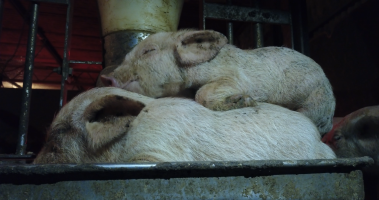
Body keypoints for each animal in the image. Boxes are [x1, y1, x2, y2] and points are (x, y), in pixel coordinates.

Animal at [100, 29, 336, 134]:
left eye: (149, 51)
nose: (105, 78)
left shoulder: (234, 77)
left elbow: (202, 93)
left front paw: (245, 101)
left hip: (316, 100)